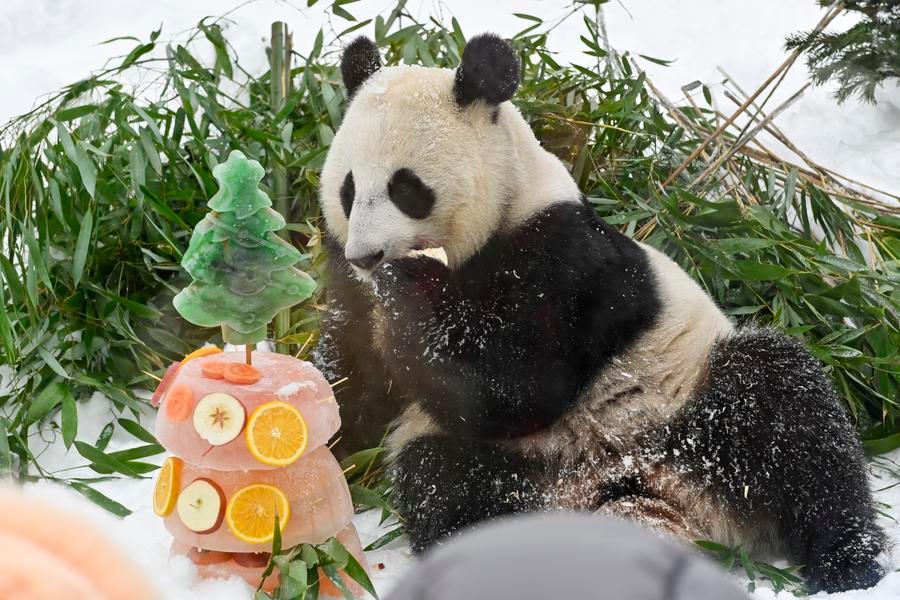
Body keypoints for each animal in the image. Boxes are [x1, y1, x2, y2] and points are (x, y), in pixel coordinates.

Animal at [312, 34, 886, 593]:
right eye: (348, 189)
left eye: (406, 188)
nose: (369, 256)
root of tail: (653, 495)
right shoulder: (349, 284)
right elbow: (351, 376)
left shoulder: (562, 257)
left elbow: (517, 385)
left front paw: (411, 286)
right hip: (524, 467)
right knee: (447, 485)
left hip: (688, 404)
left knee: (786, 409)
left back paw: (848, 559)